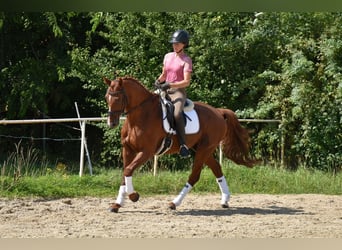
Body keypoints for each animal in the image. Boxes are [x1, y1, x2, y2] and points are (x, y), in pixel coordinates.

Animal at [103, 76, 255, 213]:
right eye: (106, 97)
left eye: (118, 98)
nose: (111, 123)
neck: (140, 117)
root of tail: (218, 111)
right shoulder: (128, 150)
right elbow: (125, 173)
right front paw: (117, 204)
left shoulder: (146, 152)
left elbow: (128, 170)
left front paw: (134, 196)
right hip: (202, 149)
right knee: (216, 168)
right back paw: (225, 200)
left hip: (204, 149)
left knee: (194, 176)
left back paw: (174, 203)